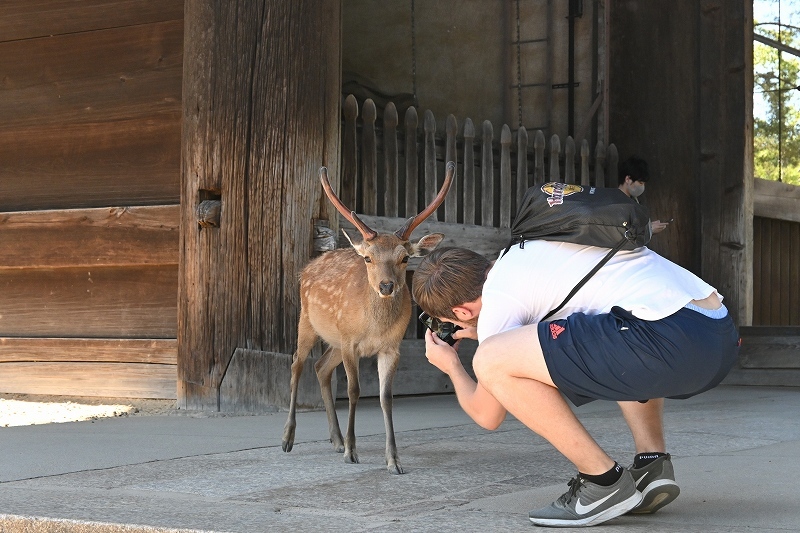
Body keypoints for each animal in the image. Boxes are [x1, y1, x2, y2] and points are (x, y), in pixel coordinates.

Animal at [282, 160, 456, 472]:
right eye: (368, 258)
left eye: (404, 258)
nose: (386, 286)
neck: (373, 327)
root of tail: (308, 266)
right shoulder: (351, 342)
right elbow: (353, 390)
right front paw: (353, 452)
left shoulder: (390, 348)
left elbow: (386, 398)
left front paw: (393, 460)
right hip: (307, 323)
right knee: (296, 365)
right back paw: (289, 438)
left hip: (335, 340)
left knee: (321, 367)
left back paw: (336, 440)